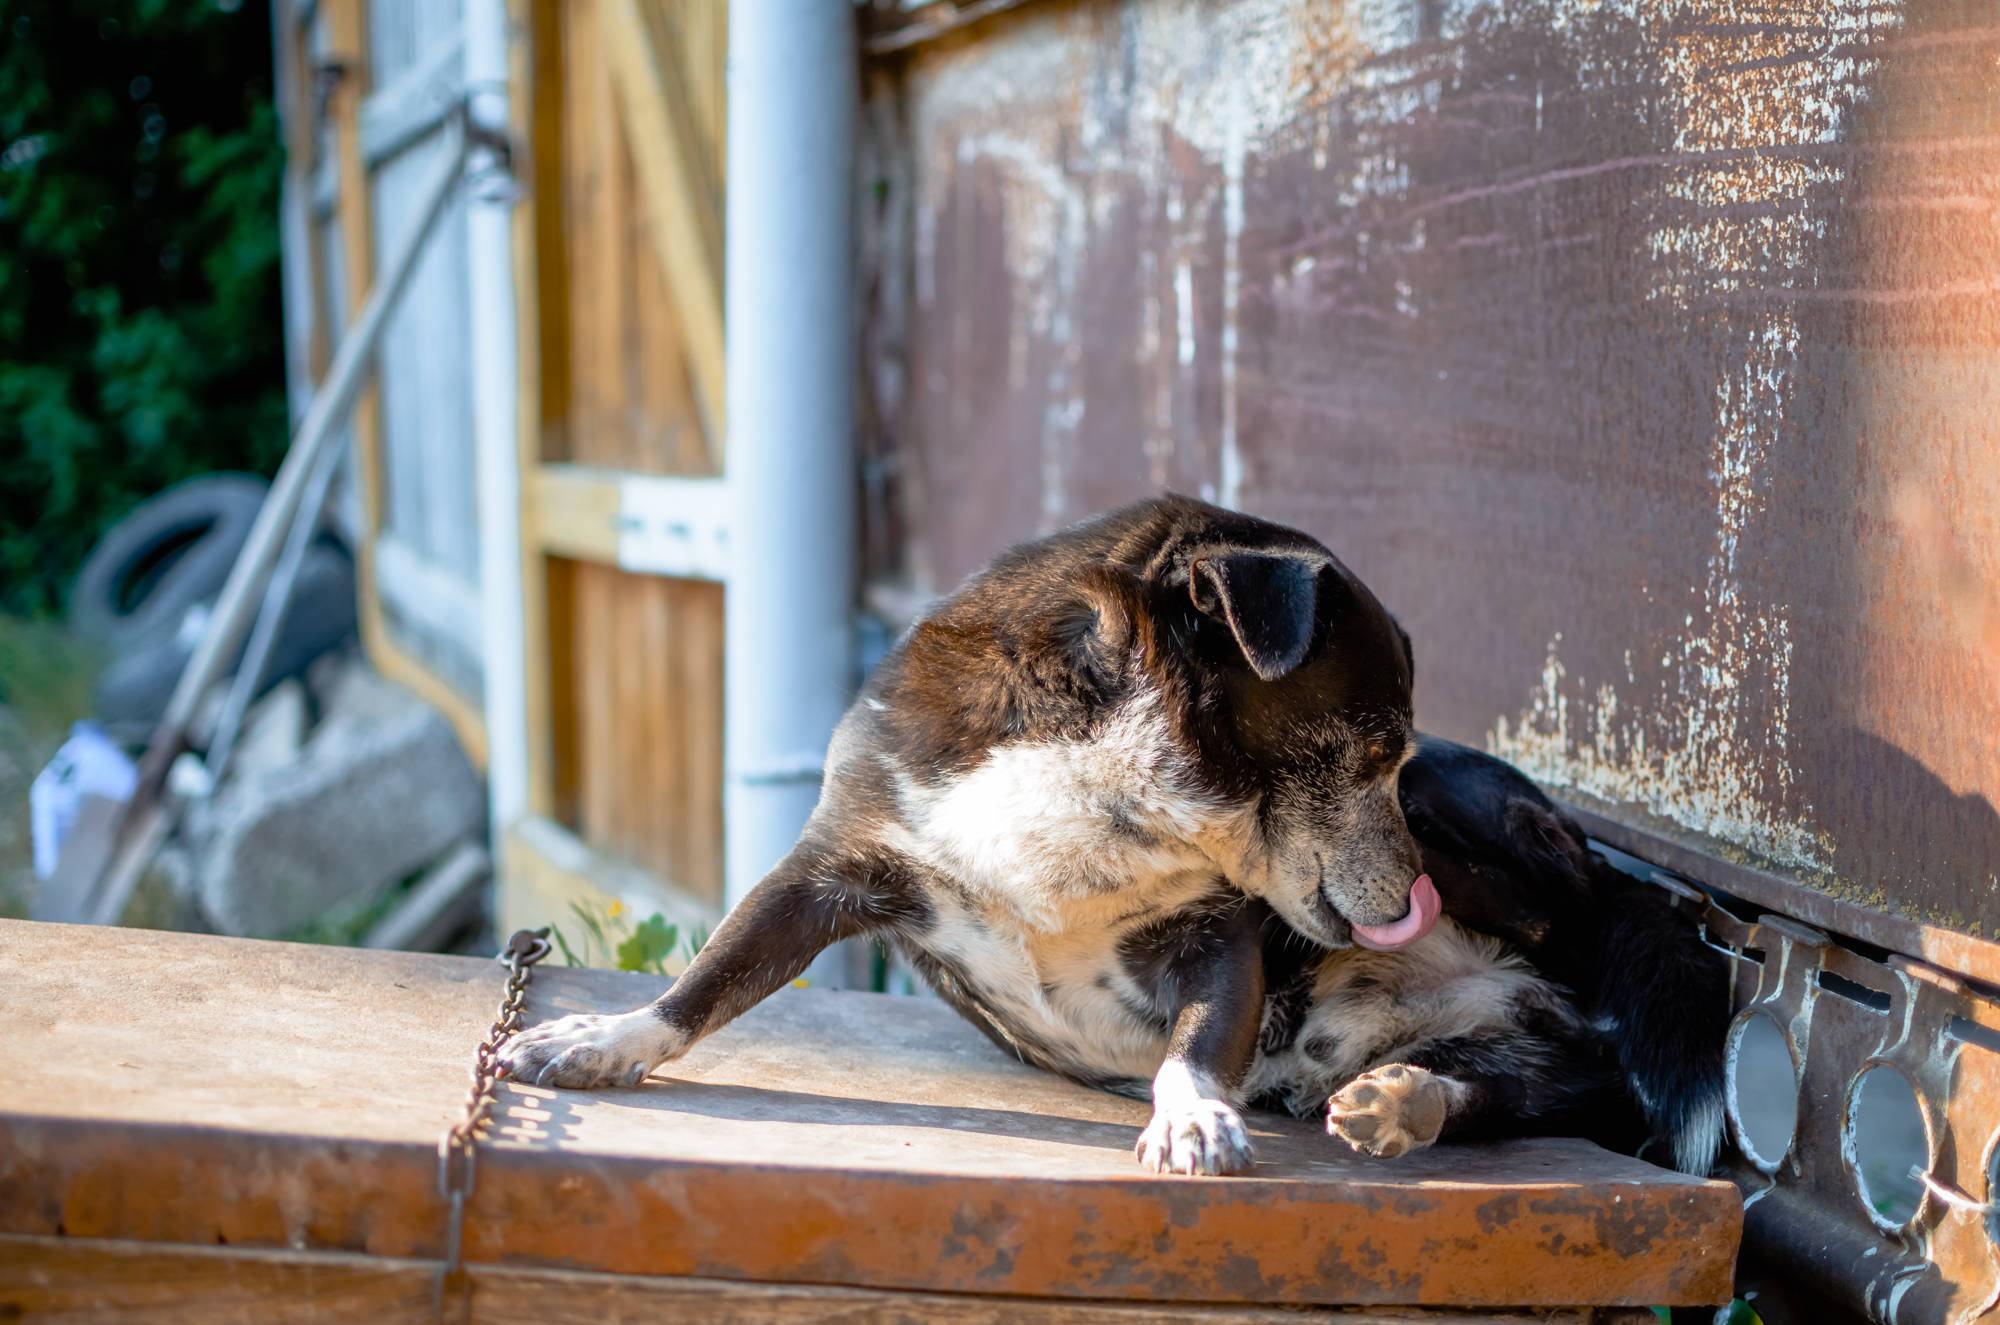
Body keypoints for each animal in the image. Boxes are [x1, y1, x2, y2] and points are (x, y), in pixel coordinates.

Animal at [496, 500, 1720, 1184]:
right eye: (1371, 741)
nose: (1406, 885)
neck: (1109, 779)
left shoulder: (1218, 941)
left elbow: (1202, 1040)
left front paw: (1191, 1117)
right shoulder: (832, 866)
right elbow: (713, 974)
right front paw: (604, 1040)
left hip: (1494, 859)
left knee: (1554, 934)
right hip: (1515, 1044)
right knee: (1490, 1089)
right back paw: (1398, 1100)